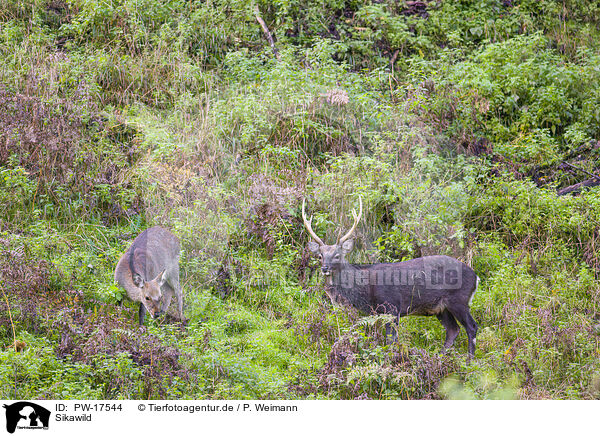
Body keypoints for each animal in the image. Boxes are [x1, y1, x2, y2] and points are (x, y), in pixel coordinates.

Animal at [302, 198, 480, 358]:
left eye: (337, 255)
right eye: (320, 256)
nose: (325, 268)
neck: (365, 290)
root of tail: (476, 277)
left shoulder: (392, 307)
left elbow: (391, 341)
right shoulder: (376, 313)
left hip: (459, 299)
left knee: (472, 327)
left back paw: (469, 360)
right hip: (441, 307)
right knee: (453, 330)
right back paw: (441, 357)